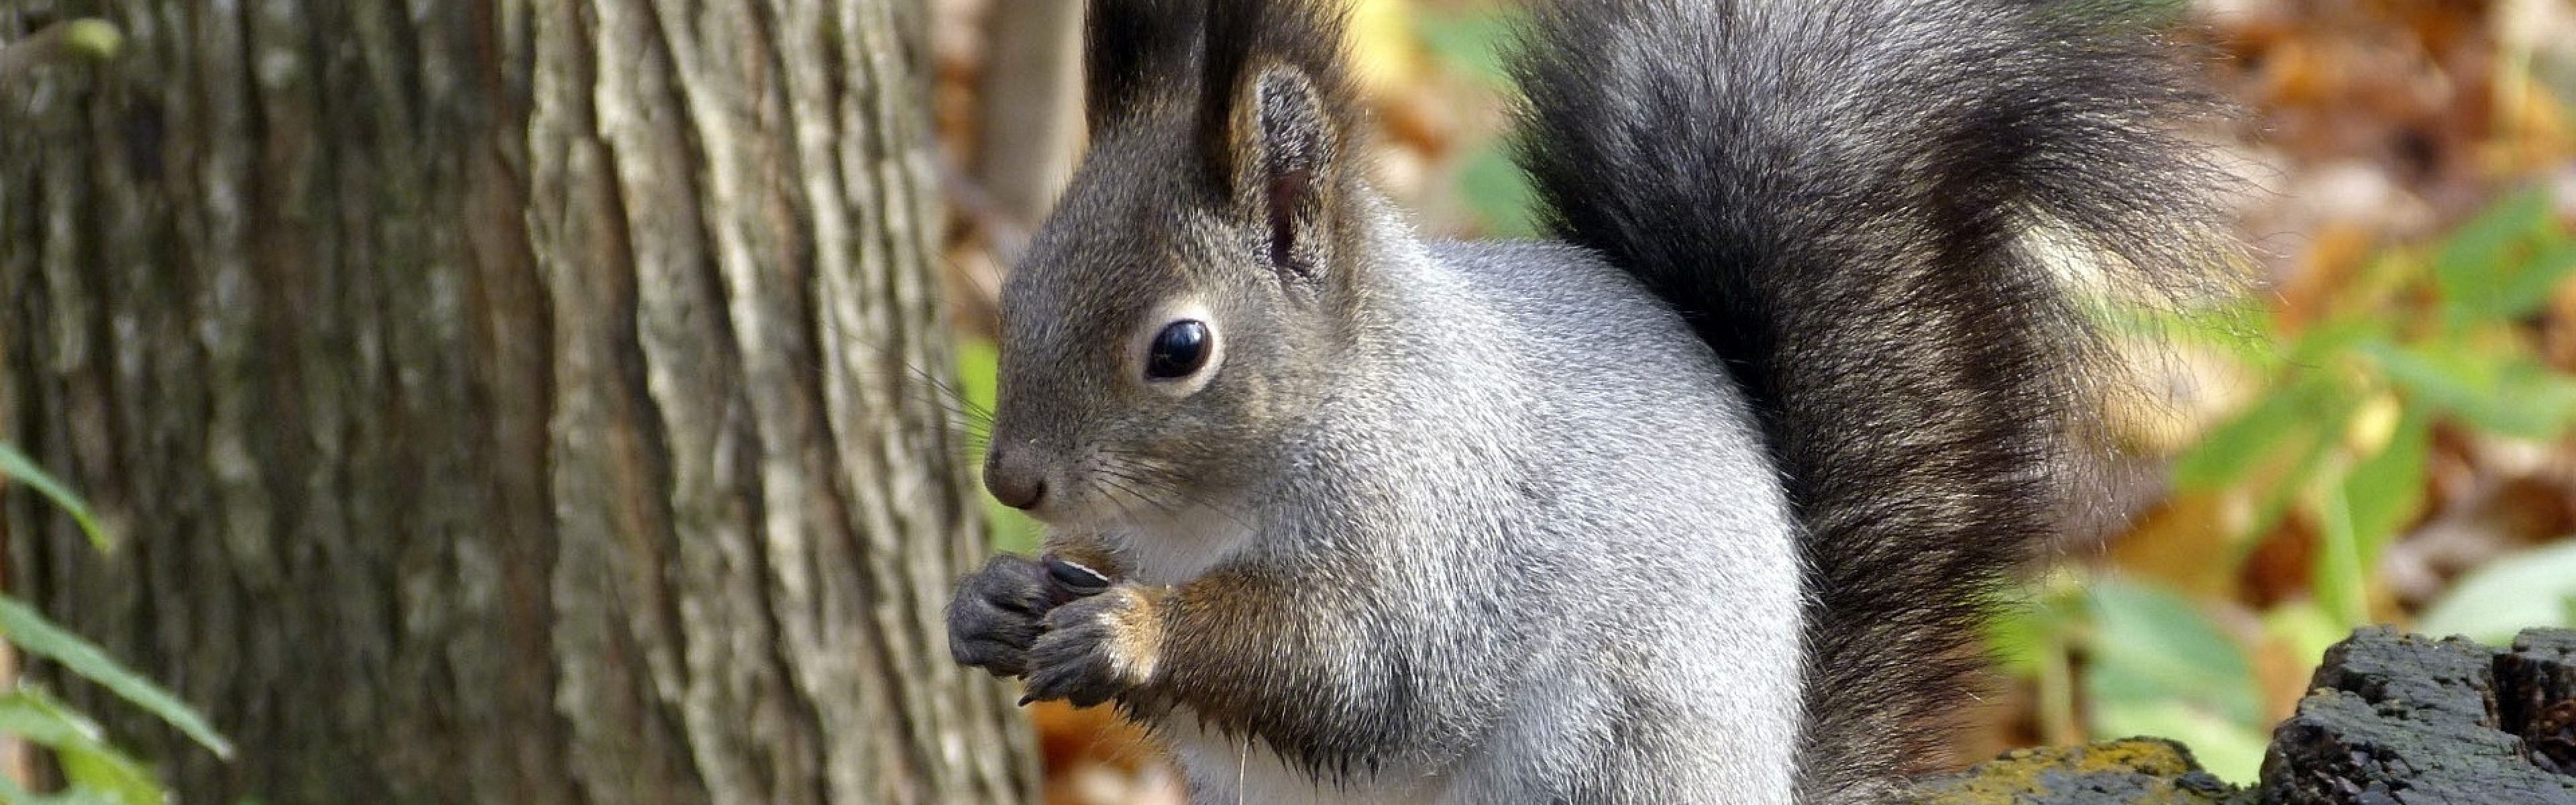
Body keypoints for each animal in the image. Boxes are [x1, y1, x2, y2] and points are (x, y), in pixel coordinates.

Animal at [953, 1, 2236, 805]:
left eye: (1181, 348)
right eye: (1018, 285)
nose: (1012, 479)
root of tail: (1773, 780)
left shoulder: (1436, 534)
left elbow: (1355, 668)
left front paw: (1132, 629)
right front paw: (998, 600)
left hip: (1604, 751)